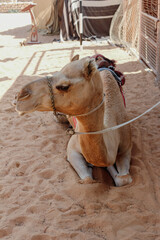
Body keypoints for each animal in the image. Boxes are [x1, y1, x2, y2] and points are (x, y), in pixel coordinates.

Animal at [14, 55, 132, 187]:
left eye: (64, 86)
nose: (20, 96)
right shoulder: (72, 149)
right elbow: (87, 179)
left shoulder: (126, 147)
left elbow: (124, 179)